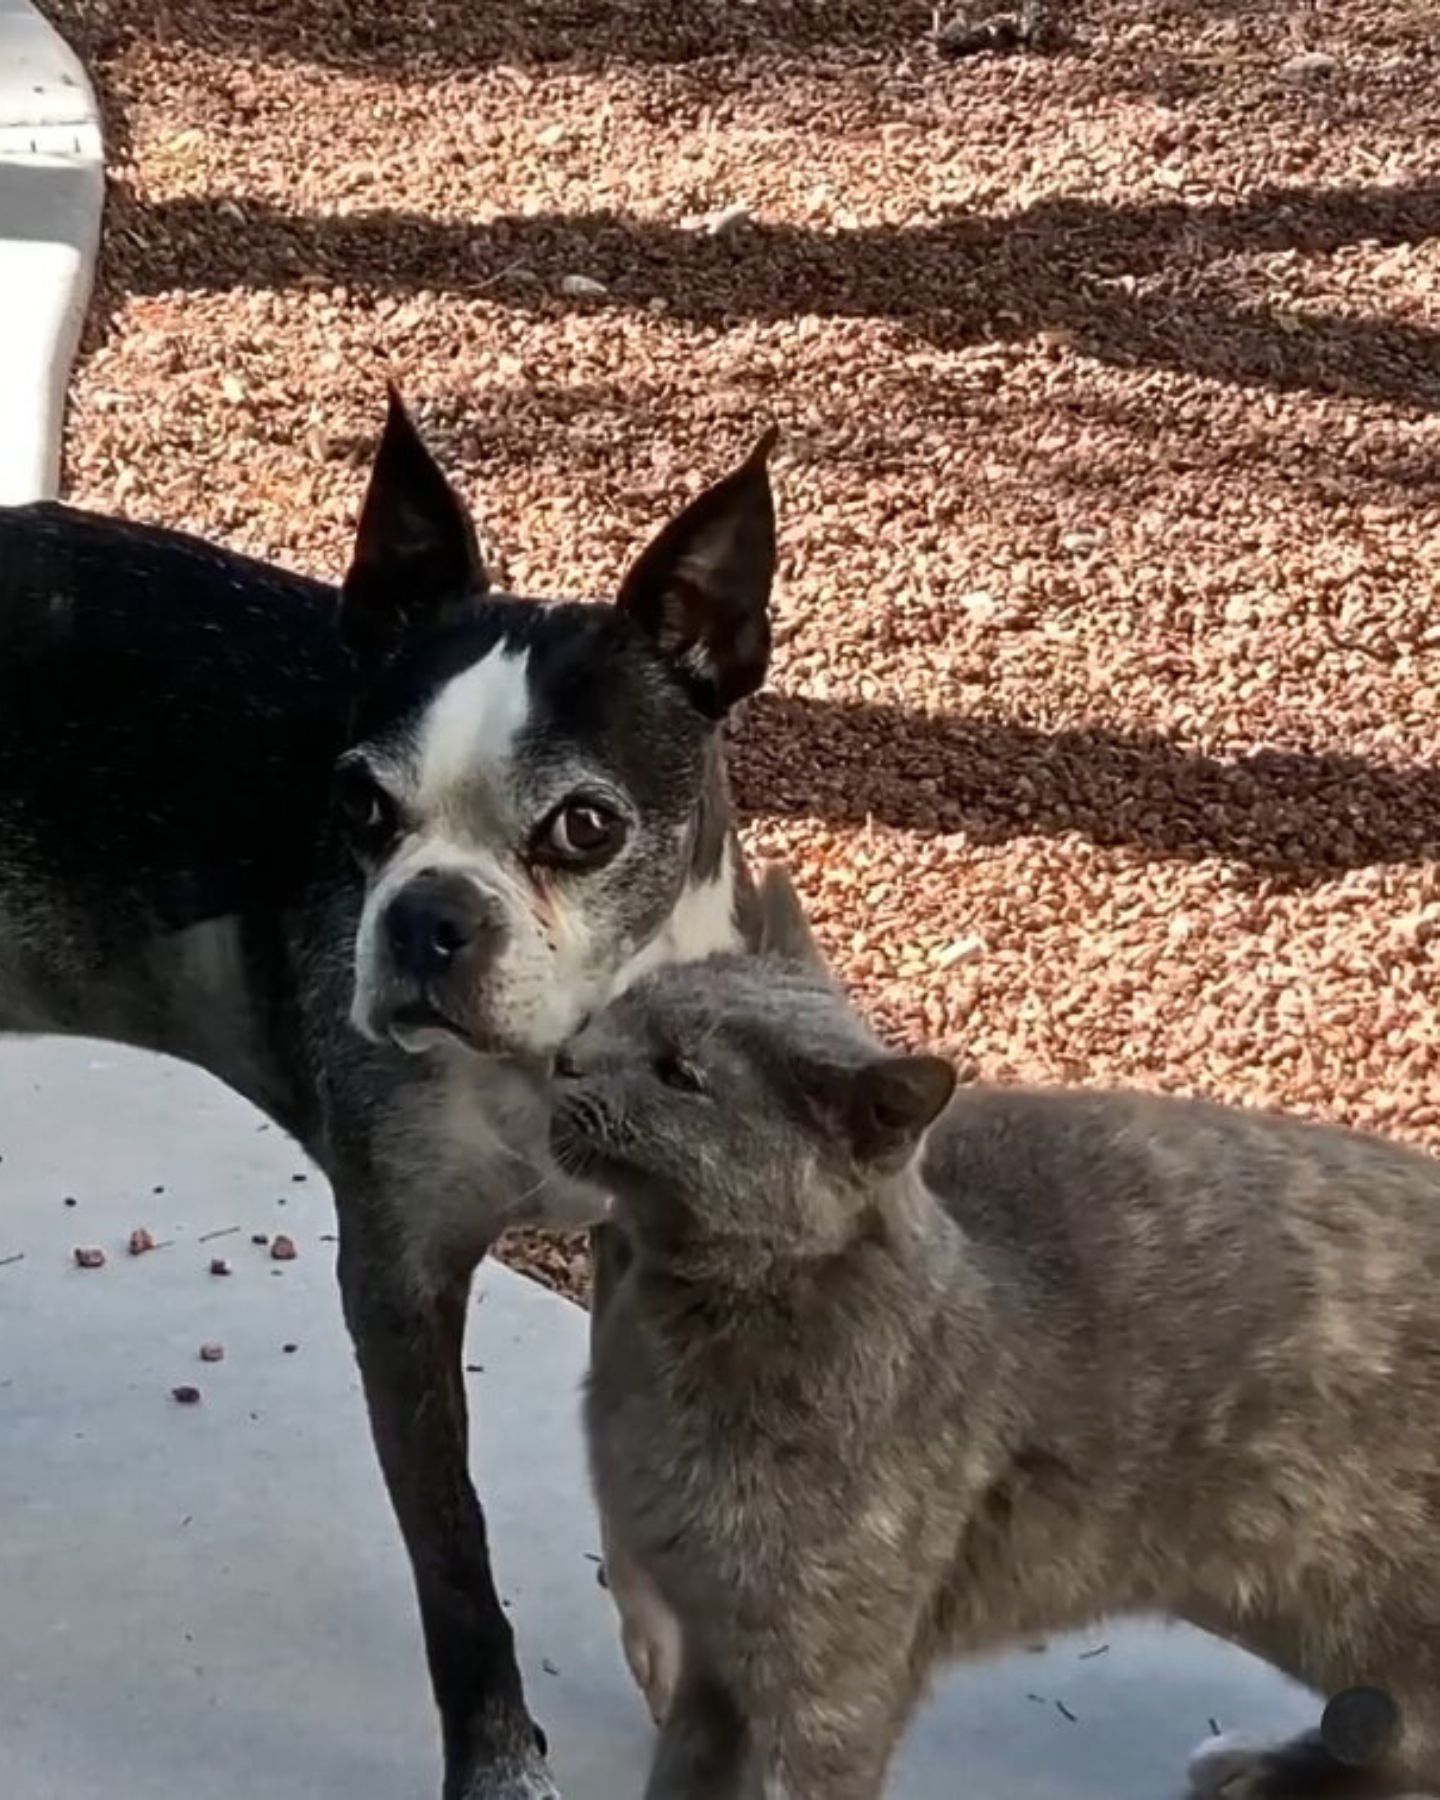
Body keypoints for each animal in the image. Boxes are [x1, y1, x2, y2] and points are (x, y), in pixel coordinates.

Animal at [0, 397, 777, 1800]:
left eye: (585, 827)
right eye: (359, 804)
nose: (426, 917)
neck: (553, 1058)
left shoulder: (651, 1240)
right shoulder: (400, 1278)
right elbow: (454, 1560)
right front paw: (500, 1768)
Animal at [558, 871, 1440, 1800]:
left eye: (680, 1074)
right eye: (621, 1011)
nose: (567, 1056)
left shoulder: (830, 1685)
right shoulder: (713, 1656)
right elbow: (683, 1772)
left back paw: (1261, 1768)